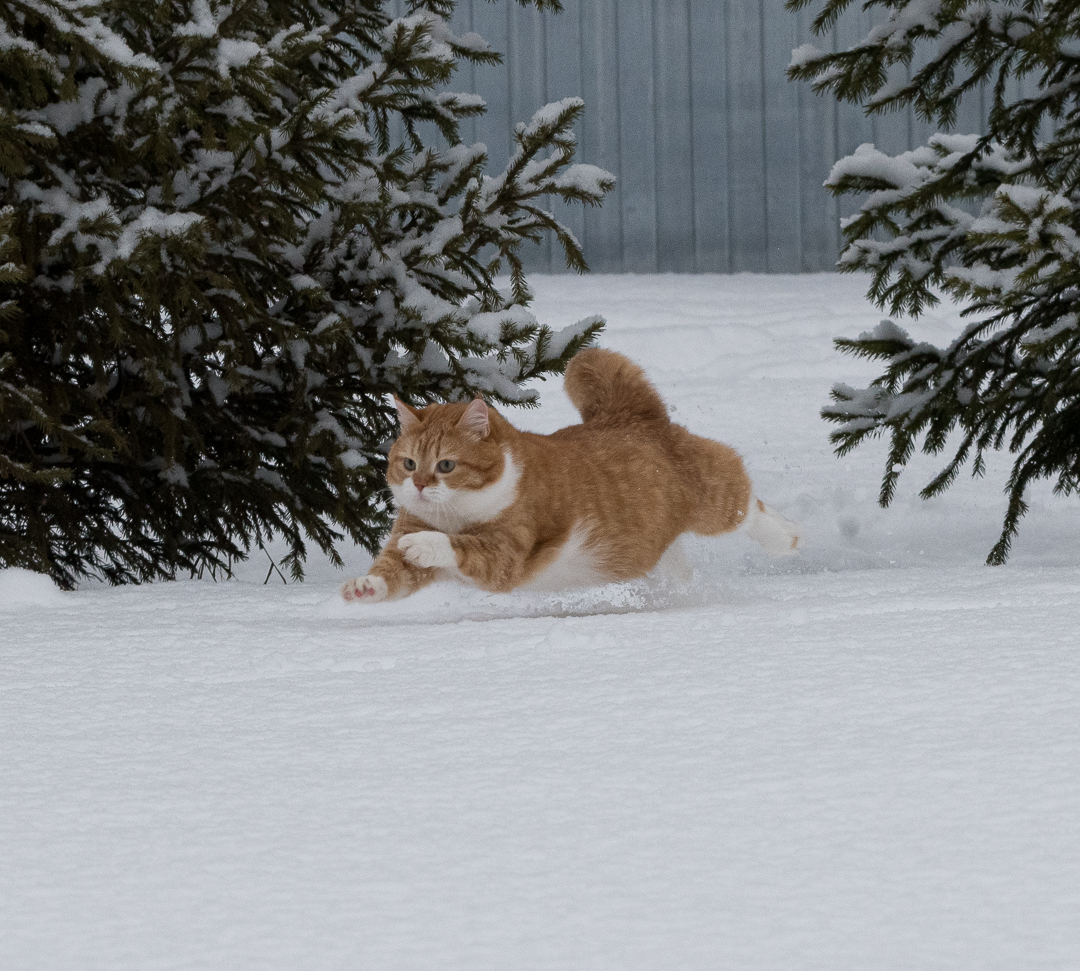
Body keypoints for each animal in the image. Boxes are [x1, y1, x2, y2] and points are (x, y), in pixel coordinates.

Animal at [341, 349, 799, 600]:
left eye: (446, 465)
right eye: (408, 463)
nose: (419, 485)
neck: (455, 512)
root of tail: (631, 415)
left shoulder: (510, 553)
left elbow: (462, 546)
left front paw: (427, 543)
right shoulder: (407, 536)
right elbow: (392, 574)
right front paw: (364, 586)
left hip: (714, 496)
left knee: (745, 503)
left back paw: (786, 538)